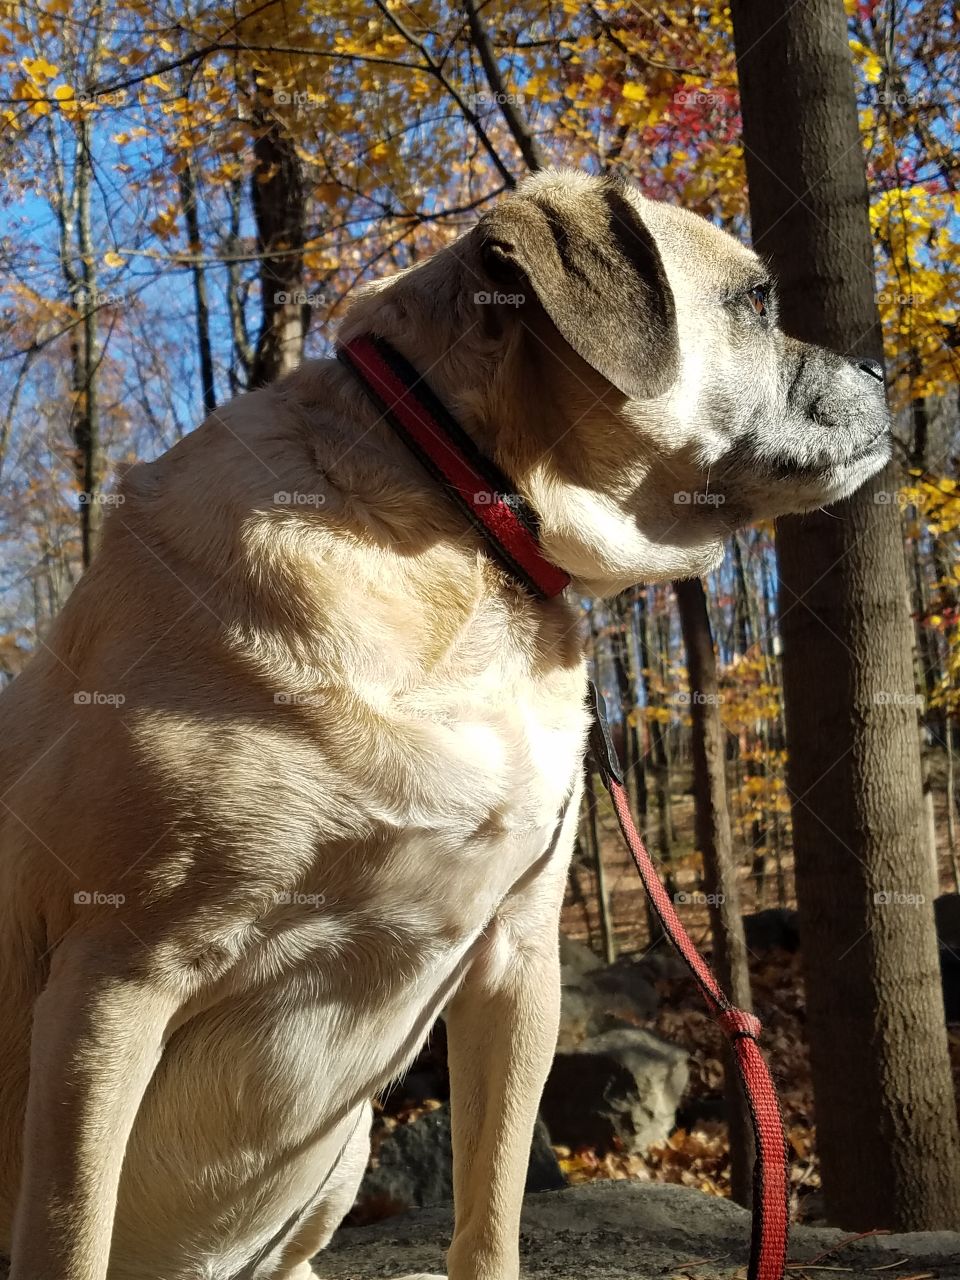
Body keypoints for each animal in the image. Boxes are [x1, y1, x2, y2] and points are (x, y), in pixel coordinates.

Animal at [0, 170, 890, 1280]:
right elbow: (69, 1232)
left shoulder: (515, 959)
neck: (464, 522)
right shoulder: (111, 987)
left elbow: (491, 1205)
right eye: (758, 300)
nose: (881, 364)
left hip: (341, 1154)